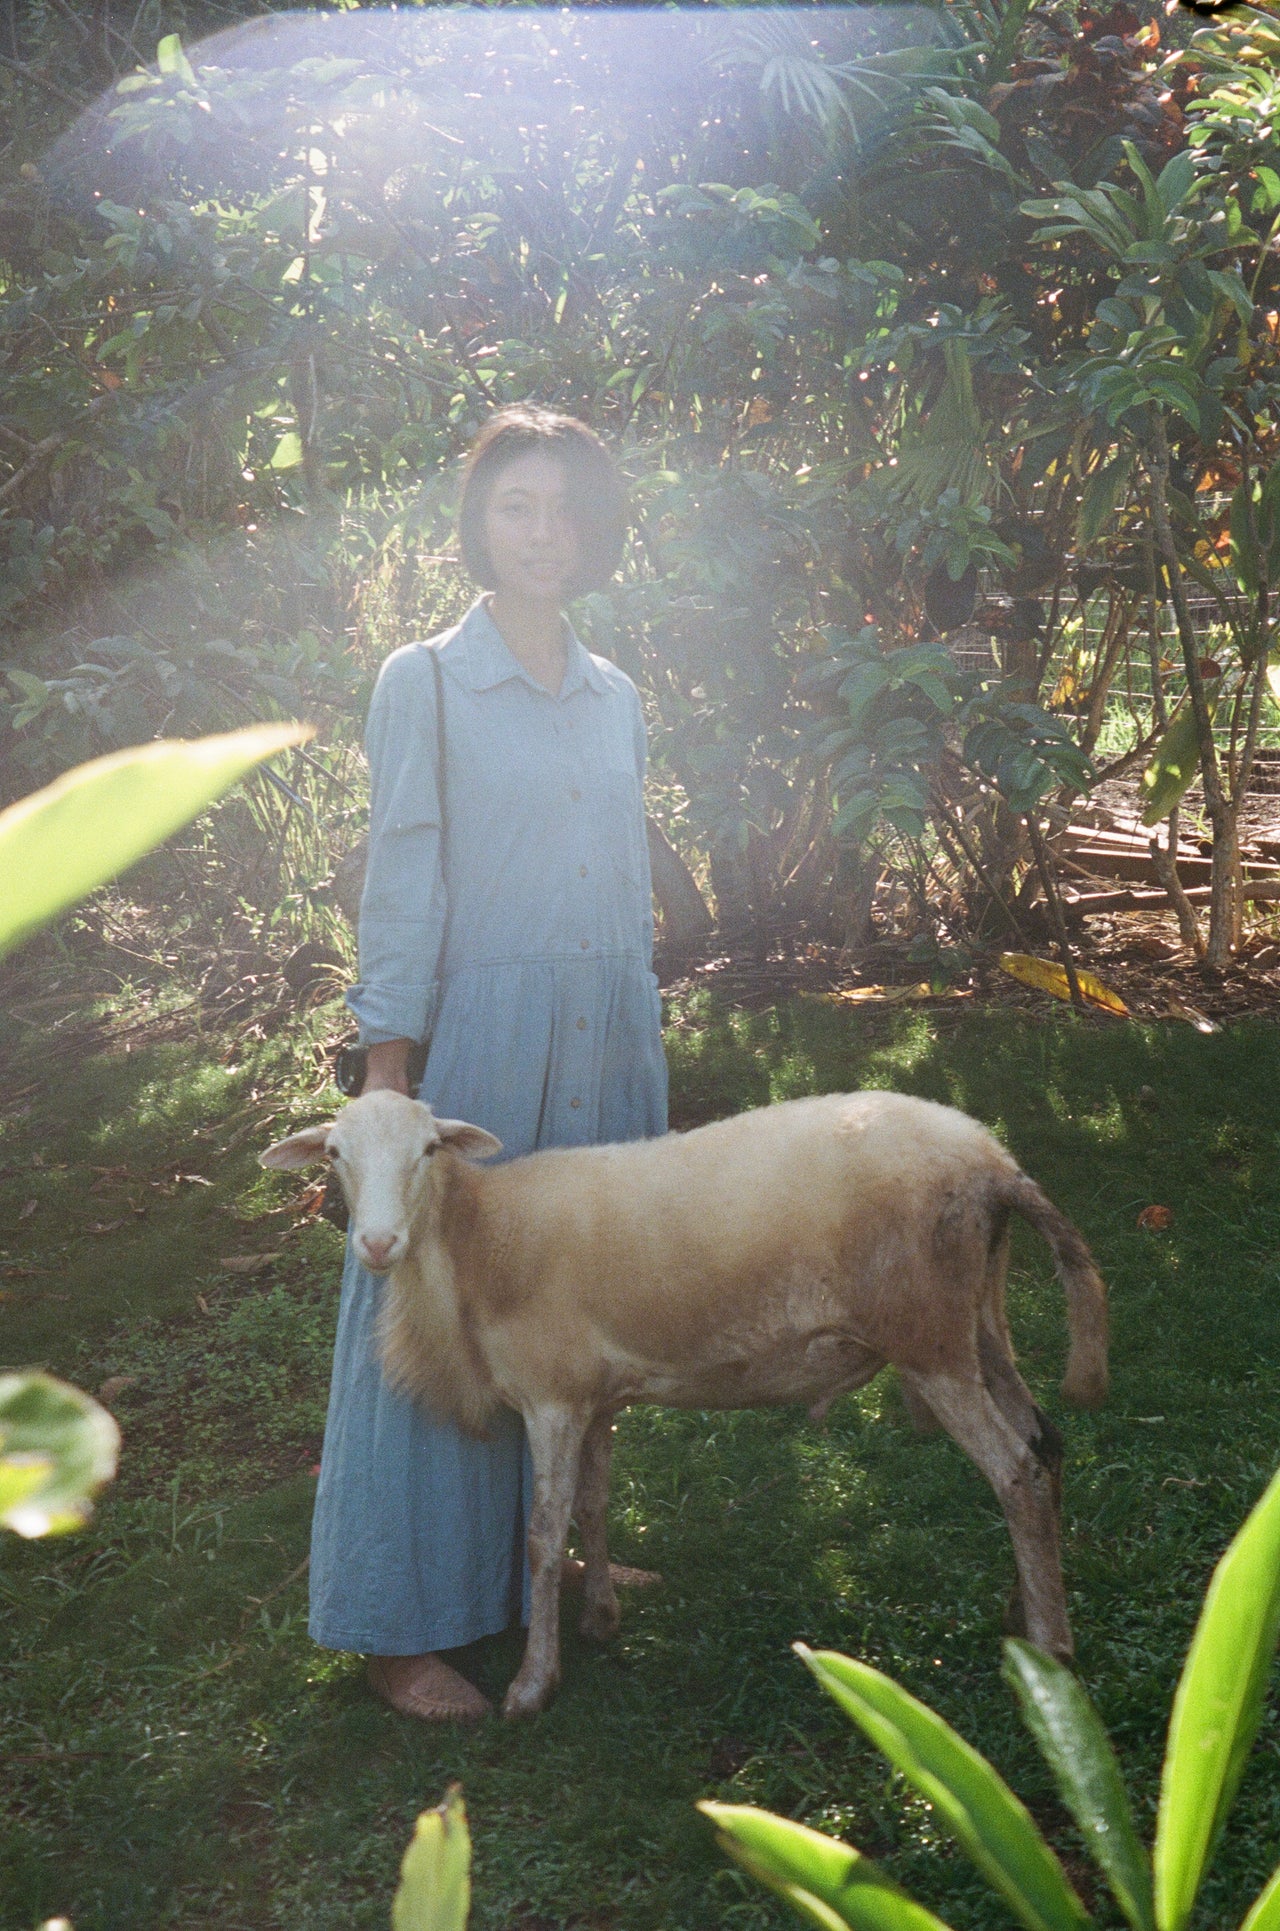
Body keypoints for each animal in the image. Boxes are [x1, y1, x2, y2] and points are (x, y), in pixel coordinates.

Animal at [258, 1089, 1104, 1722]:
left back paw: (1052, 1647)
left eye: (429, 1150)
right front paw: (600, 1619)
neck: (479, 1241)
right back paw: (1026, 1612)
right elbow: (593, 1505)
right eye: (335, 1155)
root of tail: (994, 1163)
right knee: (1047, 1442)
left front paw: (534, 1684)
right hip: (978, 1320)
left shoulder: (552, 1396)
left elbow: (542, 1535)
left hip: (928, 1334)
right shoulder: (594, 1396)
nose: (377, 1244)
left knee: (1017, 1470)